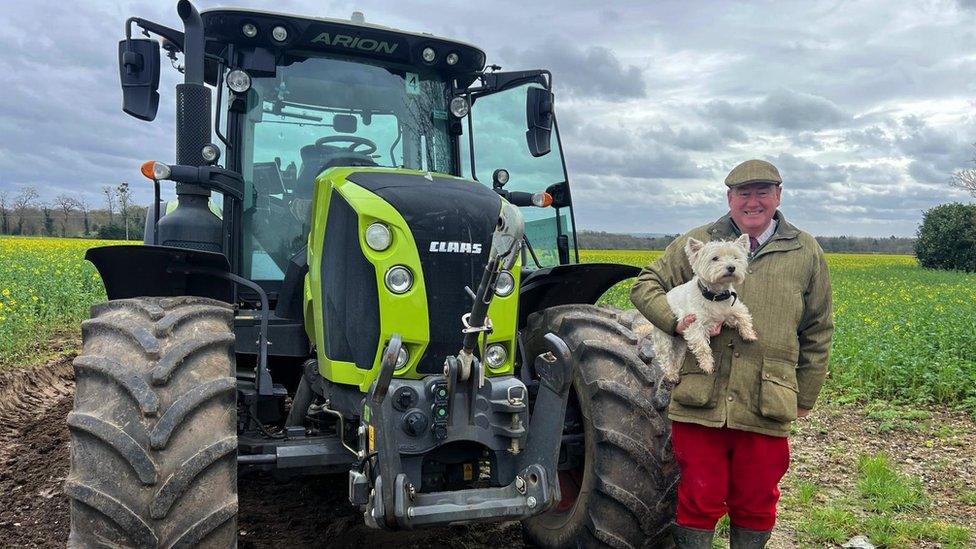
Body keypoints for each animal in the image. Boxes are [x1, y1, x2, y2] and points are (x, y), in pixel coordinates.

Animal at [652, 234, 760, 382]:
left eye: (735, 257)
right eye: (715, 258)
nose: (731, 267)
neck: (716, 295)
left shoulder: (731, 310)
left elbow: (743, 316)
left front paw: (749, 334)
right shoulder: (694, 325)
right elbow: (702, 347)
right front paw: (707, 365)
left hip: (680, 343)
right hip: (664, 337)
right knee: (665, 356)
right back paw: (671, 374)